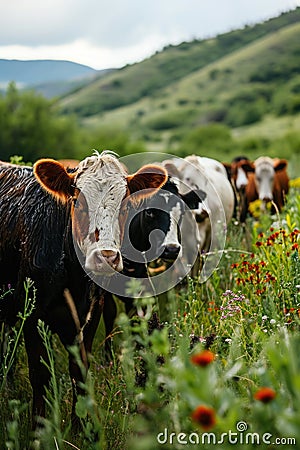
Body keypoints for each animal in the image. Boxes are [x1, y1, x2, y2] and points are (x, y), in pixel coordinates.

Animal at [0, 153, 168, 424]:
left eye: (125, 206)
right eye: (78, 203)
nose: (106, 257)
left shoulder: (90, 316)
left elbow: (79, 374)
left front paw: (80, 427)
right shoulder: (33, 316)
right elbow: (40, 376)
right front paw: (39, 428)